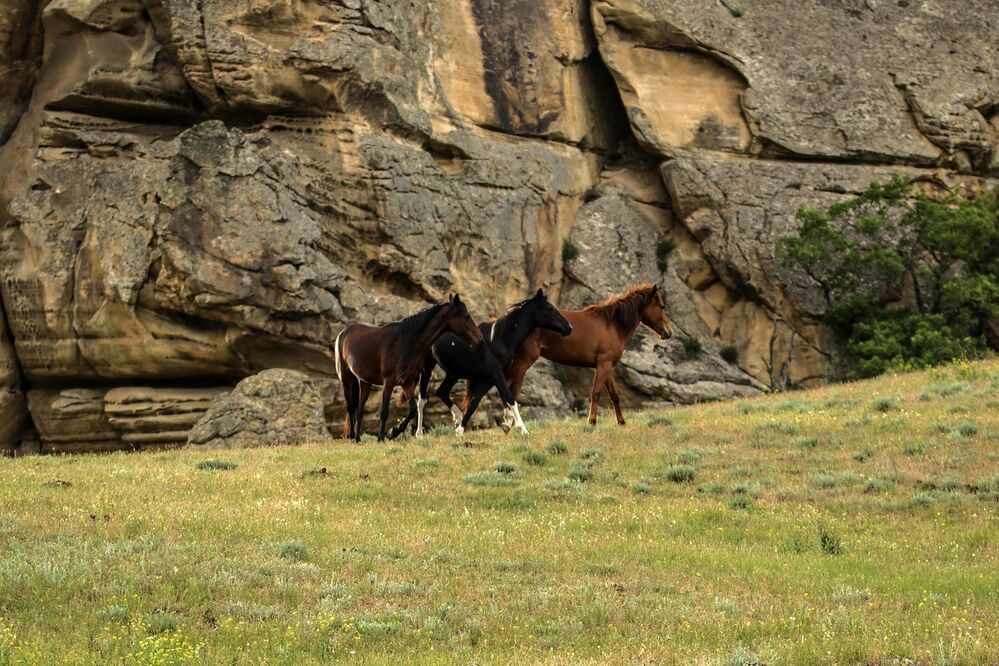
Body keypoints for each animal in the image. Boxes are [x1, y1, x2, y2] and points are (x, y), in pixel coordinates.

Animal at [335, 294, 483, 442]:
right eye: (466, 316)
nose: (480, 339)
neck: (404, 343)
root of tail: (343, 333)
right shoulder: (388, 382)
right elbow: (384, 412)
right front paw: (382, 437)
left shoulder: (407, 383)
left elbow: (412, 410)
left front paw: (394, 432)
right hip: (346, 378)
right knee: (350, 407)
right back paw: (352, 436)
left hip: (365, 381)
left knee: (360, 409)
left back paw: (358, 438)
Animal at [403, 288, 572, 437]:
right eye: (550, 308)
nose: (569, 327)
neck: (499, 340)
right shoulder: (497, 375)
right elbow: (510, 398)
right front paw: (523, 430)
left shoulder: (487, 380)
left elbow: (474, 403)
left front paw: (460, 430)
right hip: (428, 367)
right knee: (422, 400)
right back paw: (419, 434)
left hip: (453, 372)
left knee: (442, 391)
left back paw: (457, 418)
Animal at [505, 284, 672, 426]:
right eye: (661, 306)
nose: (668, 332)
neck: (613, 324)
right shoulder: (603, 365)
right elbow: (596, 393)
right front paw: (591, 421)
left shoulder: (607, 367)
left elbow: (614, 395)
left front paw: (621, 421)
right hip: (524, 361)